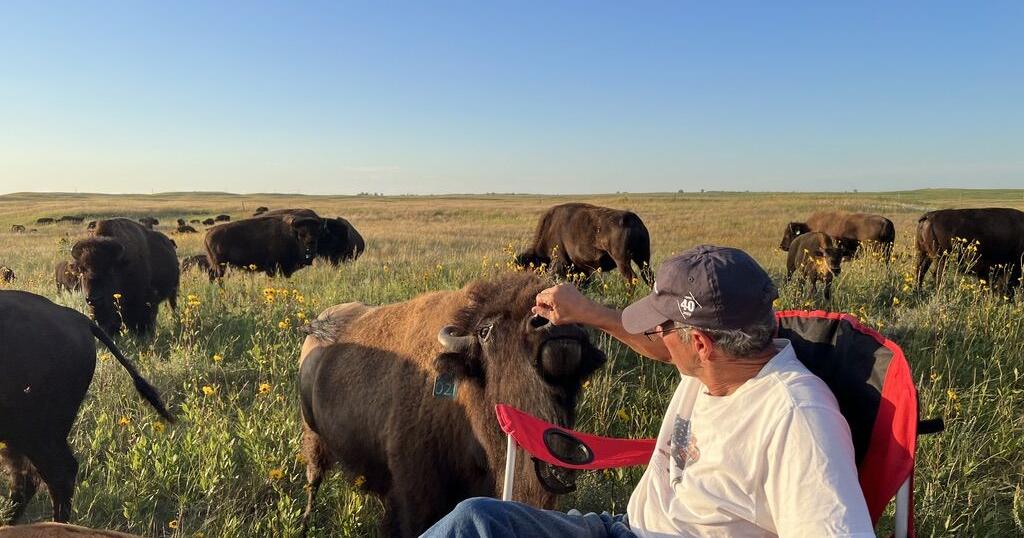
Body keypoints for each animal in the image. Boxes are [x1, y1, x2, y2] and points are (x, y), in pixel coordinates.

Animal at [298, 273, 606, 536]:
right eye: (485, 332)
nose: (552, 324)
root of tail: (318, 326)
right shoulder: (416, 497)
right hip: (312, 436)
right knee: (313, 481)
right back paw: (305, 526)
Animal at [516, 203, 653, 286]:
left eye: (530, 268)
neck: (550, 227)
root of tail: (634, 220)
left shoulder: (560, 261)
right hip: (643, 259)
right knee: (648, 276)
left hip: (622, 260)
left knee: (631, 278)